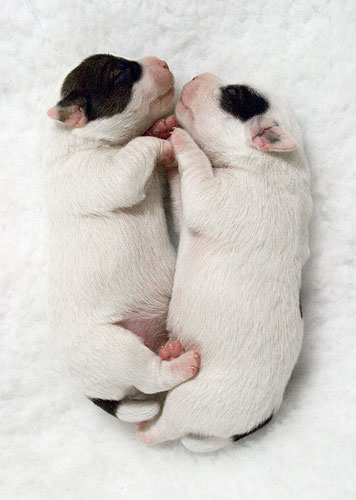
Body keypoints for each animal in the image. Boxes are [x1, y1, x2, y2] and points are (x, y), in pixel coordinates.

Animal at [43, 54, 200, 422]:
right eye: (121, 75)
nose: (162, 61)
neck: (79, 136)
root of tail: (95, 395)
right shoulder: (101, 175)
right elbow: (137, 152)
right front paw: (164, 139)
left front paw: (159, 127)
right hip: (113, 348)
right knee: (151, 377)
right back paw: (182, 365)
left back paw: (170, 351)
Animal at [138, 74, 312, 454]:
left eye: (233, 94)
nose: (195, 76)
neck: (272, 162)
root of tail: (242, 431)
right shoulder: (191, 206)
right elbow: (181, 193)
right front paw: (168, 137)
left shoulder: (215, 197)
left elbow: (197, 165)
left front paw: (182, 137)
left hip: (194, 399)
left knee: (164, 428)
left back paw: (146, 426)